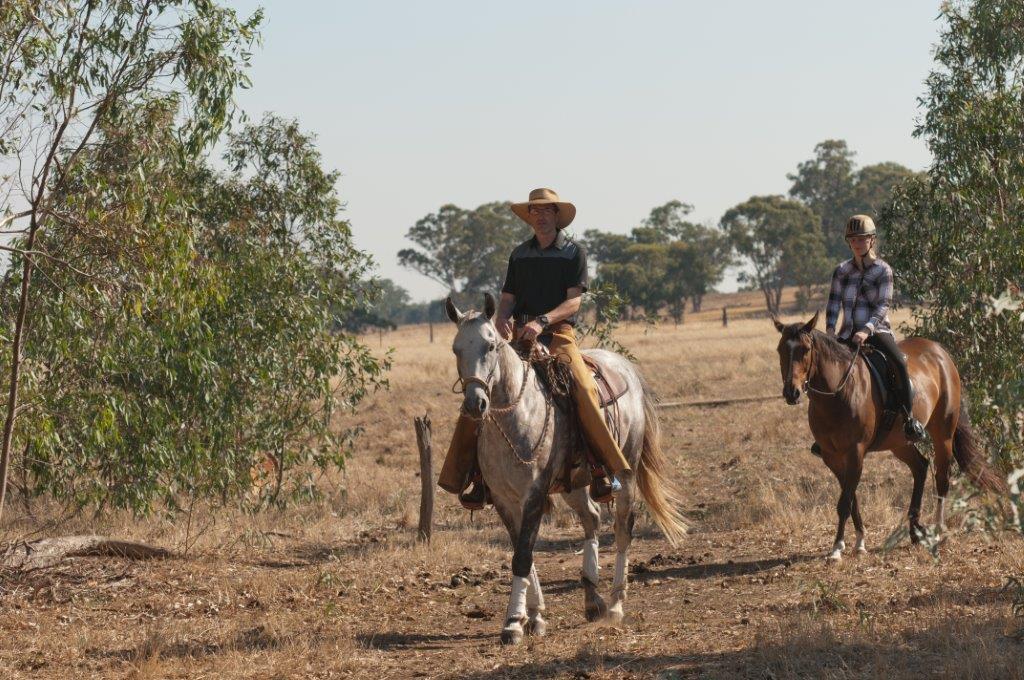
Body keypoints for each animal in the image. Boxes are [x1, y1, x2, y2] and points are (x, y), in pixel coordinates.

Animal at [444, 292, 684, 643]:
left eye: (490, 346)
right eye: (456, 349)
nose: (475, 404)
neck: (514, 418)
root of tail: (627, 368)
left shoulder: (533, 494)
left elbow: (523, 556)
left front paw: (513, 622)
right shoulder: (503, 499)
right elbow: (522, 552)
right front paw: (533, 616)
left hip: (624, 472)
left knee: (622, 529)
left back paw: (615, 606)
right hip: (574, 482)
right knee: (592, 519)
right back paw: (592, 599)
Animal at [770, 311, 1003, 561]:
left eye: (805, 349)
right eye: (780, 349)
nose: (791, 393)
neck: (838, 394)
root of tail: (941, 353)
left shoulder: (856, 452)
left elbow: (844, 502)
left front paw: (837, 548)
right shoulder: (832, 457)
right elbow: (850, 498)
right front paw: (859, 541)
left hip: (943, 435)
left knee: (942, 479)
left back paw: (938, 531)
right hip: (899, 443)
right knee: (921, 467)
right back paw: (915, 530)